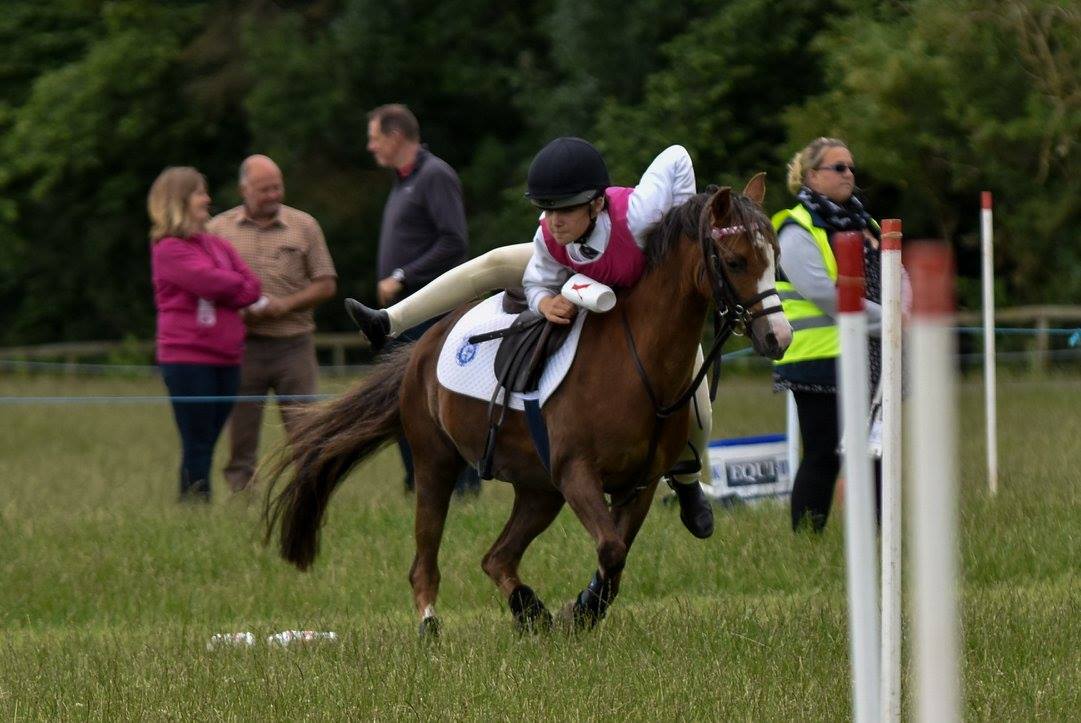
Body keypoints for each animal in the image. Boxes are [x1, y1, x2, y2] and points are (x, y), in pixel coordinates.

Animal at [263, 175, 792, 636]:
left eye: (775, 257)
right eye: (735, 261)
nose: (778, 338)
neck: (635, 358)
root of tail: (420, 351)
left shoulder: (636, 486)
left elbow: (615, 557)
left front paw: (580, 610)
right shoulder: (577, 473)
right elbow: (611, 549)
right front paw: (579, 612)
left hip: (539, 490)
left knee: (497, 557)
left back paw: (529, 610)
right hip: (436, 464)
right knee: (425, 561)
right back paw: (434, 624)